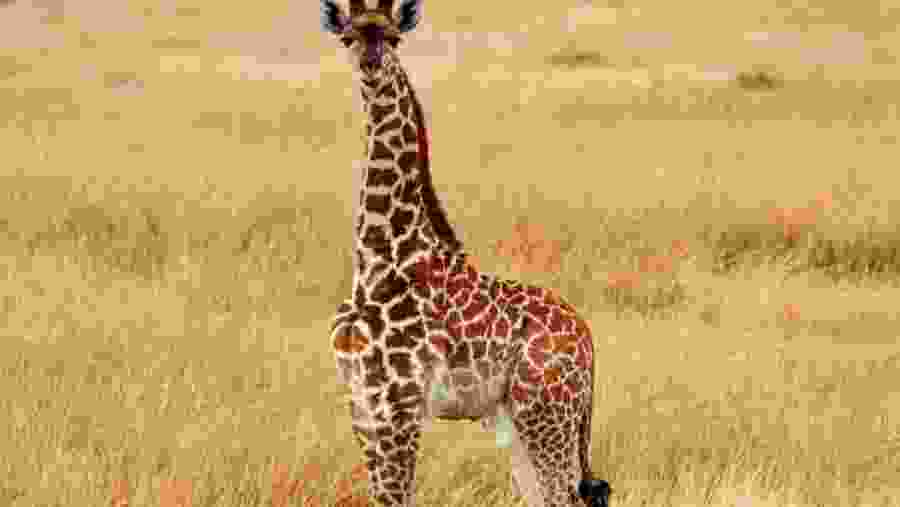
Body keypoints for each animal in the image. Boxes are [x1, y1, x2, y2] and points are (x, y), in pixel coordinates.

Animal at [320, 1, 611, 506]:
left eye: (393, 38)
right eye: (348, 38)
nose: (371, 66)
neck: (378, 257)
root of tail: (588, 340)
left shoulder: (400, 404)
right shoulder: (361, 402)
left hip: (548, 414)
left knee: (564, 495)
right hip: (519, 420)